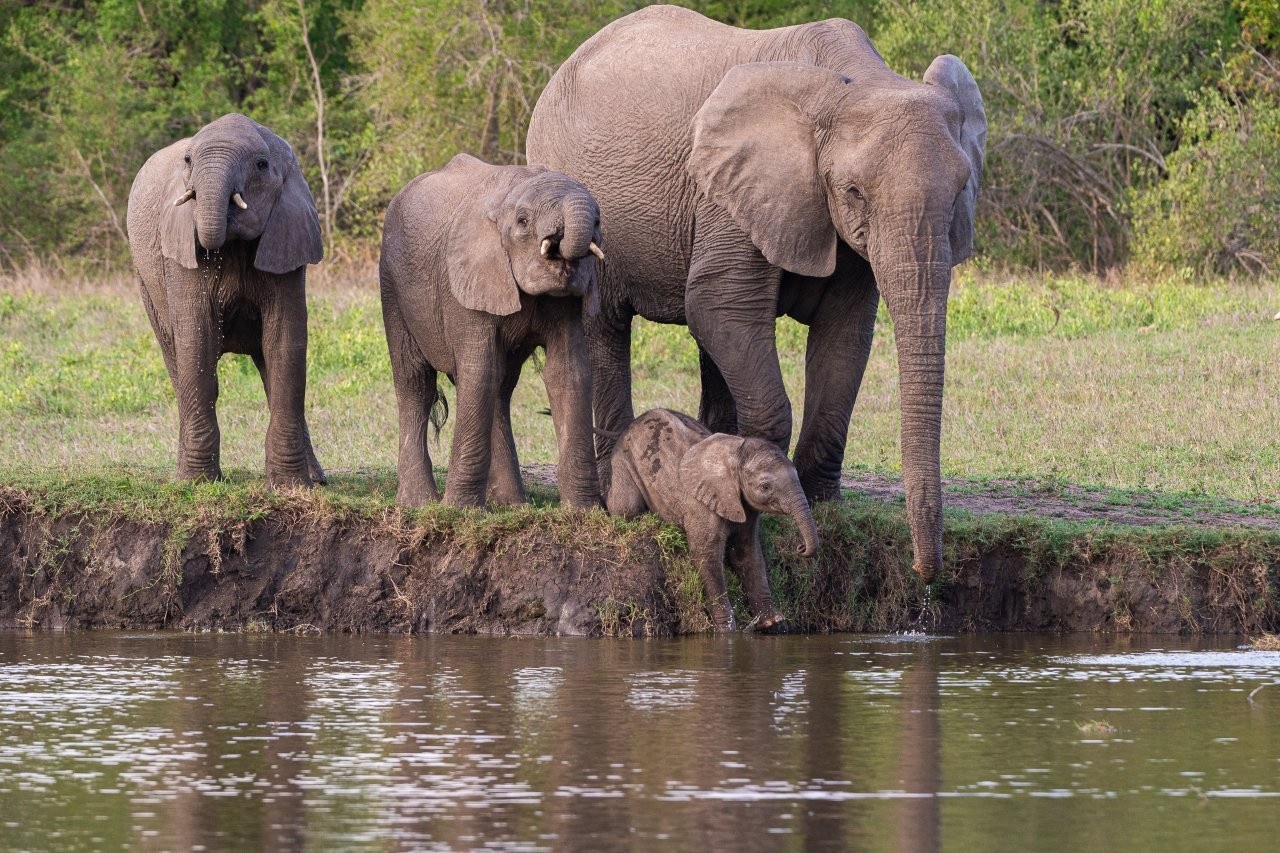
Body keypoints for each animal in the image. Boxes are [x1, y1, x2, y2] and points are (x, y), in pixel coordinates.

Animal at [126, 113, 325, 487]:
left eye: (261, 165)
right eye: (188, 161)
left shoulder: (287, 234)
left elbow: (284, 342)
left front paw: (289, 487)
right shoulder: (179, 248)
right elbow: (197, 339)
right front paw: (195, 484)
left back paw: (316, 479)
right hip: (147, 285)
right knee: (177, 358)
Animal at [379, 154, 605, 508]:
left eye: (598, 220)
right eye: (523, 221)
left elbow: (569, 373)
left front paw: (584, 511)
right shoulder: (464, 283)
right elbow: (479, 371)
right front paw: (458, 510)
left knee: (501, 386)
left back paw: (512, 504)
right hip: (391, 284)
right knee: (415, 381)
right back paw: (420, 503)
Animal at [527, 5, 986, 580]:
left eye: (963, 189)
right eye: (854, 191)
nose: (927, 572)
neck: (855, 81)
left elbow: (845, 333)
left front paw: (824, 506)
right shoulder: (732, 192)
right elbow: (720, 306)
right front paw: (767, 495)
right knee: (607, 324)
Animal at [606, 408, 820, 631]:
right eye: (765, 487)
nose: (801, 548)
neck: (736, 453)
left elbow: (747, 553)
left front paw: (771, 622)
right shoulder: (701, 508)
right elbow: (707, 557)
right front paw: (727, 630)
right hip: (623, 461)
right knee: (626, 508)